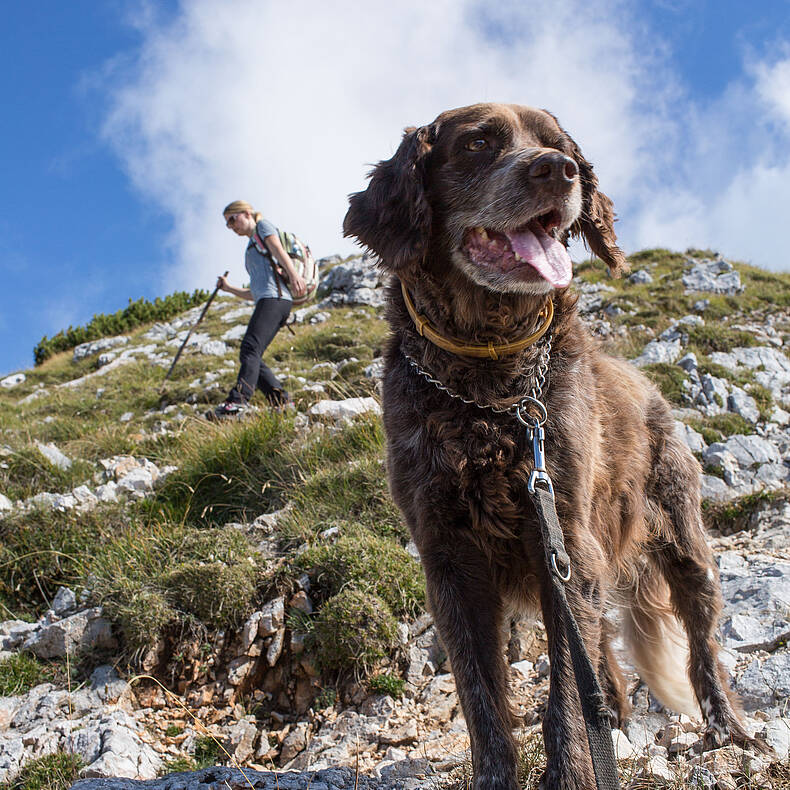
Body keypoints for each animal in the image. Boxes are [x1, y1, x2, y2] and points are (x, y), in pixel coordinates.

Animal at [344, 102, 752, 788]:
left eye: (559, 144)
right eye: (478, 143)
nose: (560, 172)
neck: (488, 385)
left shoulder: (561, 535)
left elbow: (563, 696)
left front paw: (572, 774)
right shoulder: (451, 560)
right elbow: (484, 701)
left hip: (681, 542)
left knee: (700, 637)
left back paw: (724, 722)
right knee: (603, 653)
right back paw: (613, 713)